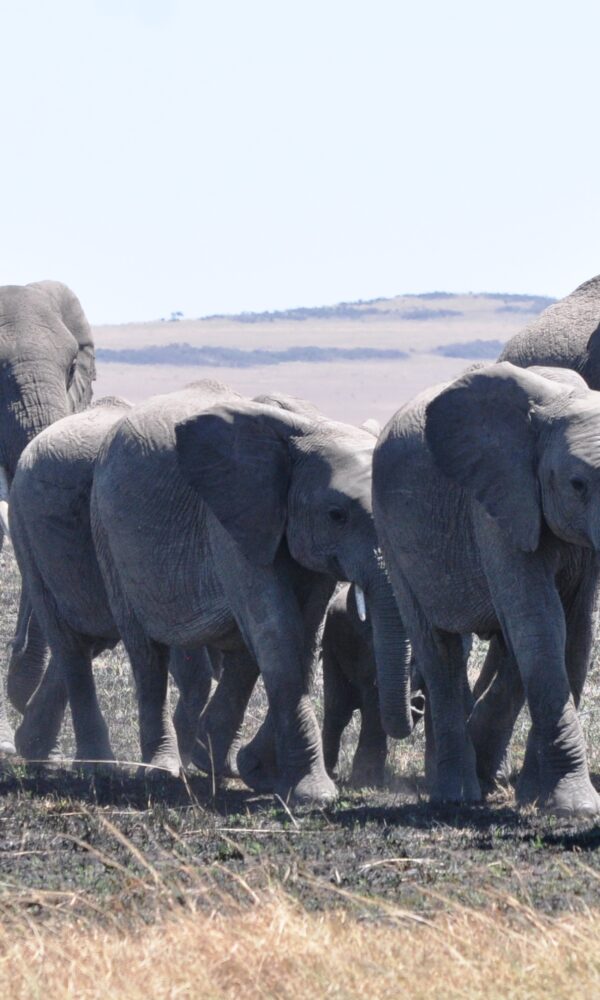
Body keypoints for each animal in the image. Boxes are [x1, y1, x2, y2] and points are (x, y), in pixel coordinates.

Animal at [90, 379, 414, 804]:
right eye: (337, 515)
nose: (417, 707)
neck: (310, 429)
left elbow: (302, 638)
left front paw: (260, 772)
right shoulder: (233, 520)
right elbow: (279, 634)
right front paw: (313, 795)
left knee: (242, 655)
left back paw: (214, 760)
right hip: (107, 533)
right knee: (147, 654)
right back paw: (163, 771)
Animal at [373, 361, 600, 818]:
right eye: (577, 484)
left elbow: (576, 631)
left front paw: (539, 797)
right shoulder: (498, 504)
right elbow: (540, 622)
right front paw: (575, 808)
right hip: (391, 536)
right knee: (438, 650)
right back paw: (457, 794)